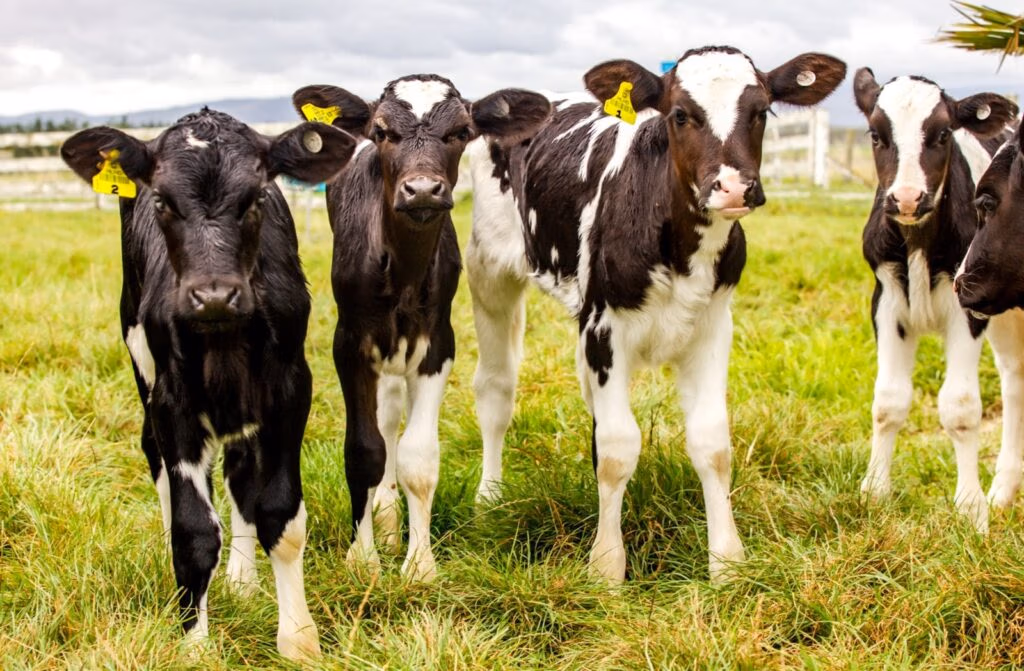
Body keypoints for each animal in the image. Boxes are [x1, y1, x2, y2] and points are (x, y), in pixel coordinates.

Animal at [60, 109, 358, 659]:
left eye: (256, 197)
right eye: (161, 200)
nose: (214, 295)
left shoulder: (290, 391)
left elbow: (280, 515)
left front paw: (298, 639)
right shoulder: (171, 402)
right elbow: (193, 532)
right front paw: (194, 644)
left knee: (240, 470)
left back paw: (242, 580)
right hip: (142, 366)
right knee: (156, 458)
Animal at [290, 75, 550, 581]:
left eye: (461, 132)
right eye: (381, 130)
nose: (423, 190)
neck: (403, 269)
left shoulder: (437, 344)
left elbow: (420, 456)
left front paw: (420, 563)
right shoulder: (349, 343)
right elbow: (365, 451)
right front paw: (364, 558)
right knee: (386, 418)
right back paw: (386, 518)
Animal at [465, 46, 847, 583]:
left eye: (762, 111)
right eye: (680, 114)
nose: (733, 187)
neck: (681, 250)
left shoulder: (712, 327)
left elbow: (712, 443)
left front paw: (727, 562)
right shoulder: (605, 329)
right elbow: (618, 449)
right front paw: (605, 568)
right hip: (488, 268)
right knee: (496, 388)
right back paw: (490, 499)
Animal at [853, 68, 1018, 532]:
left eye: (943, 133)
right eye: (876, 134)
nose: (907, 197)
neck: (919, 242)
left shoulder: (968, 306)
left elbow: (960, 406)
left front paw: (971, 508)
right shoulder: (886, 302)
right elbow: (888, 400)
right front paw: (874, 492)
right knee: (1014, 376)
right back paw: (1004, 490)